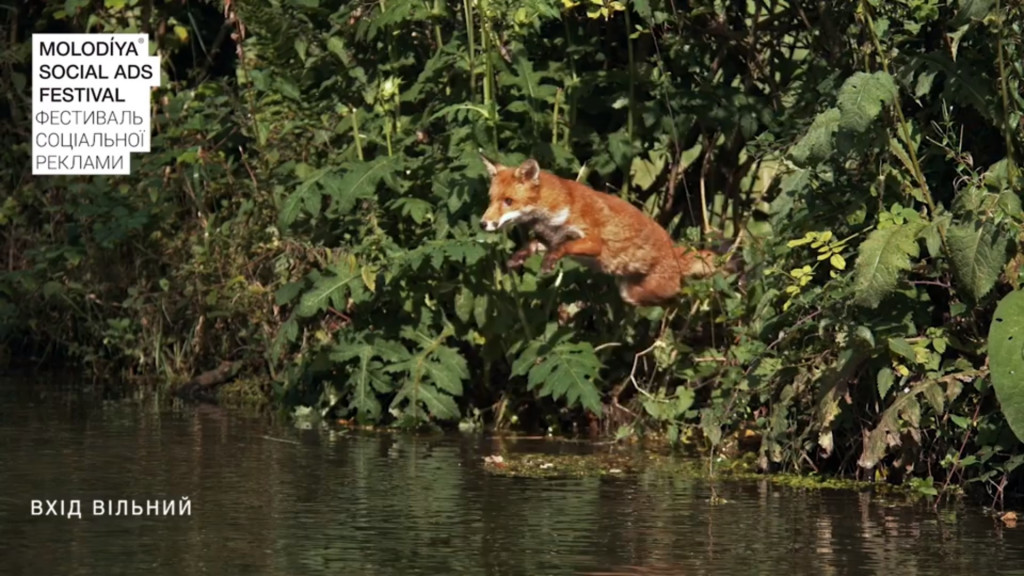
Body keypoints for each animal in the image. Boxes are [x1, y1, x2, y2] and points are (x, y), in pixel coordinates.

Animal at [477, 152, 724, 305]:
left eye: (508, 201)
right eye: (490, 200)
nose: (483, 223)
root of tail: (676, 249)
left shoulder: (592, 242)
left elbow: (564, 247)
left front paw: (549, 262)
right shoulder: (549, 238)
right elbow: (533, 245)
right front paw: (517, 258)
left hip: (643, 290)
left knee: (678, 294)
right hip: (628, 288)